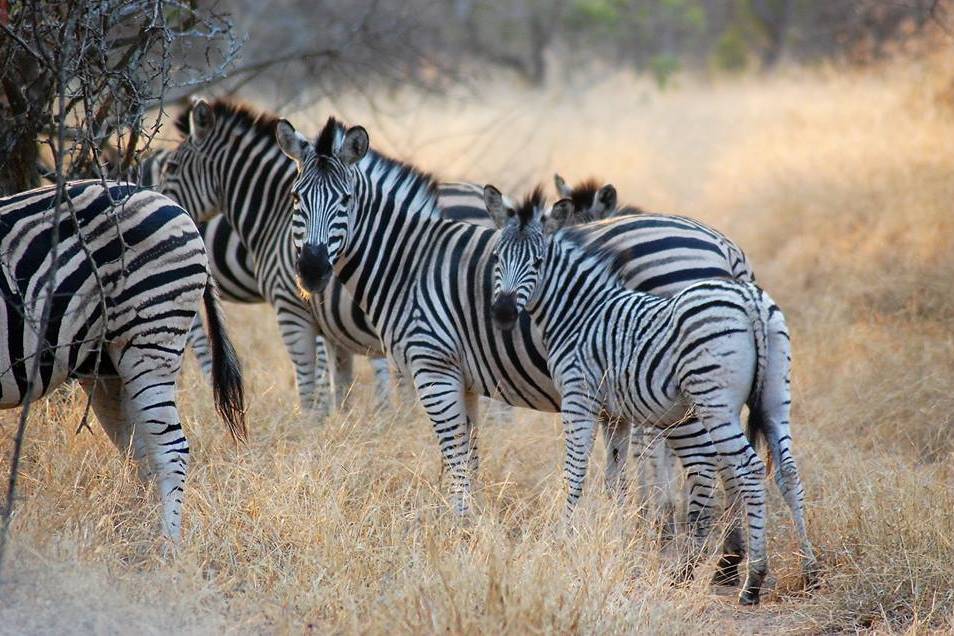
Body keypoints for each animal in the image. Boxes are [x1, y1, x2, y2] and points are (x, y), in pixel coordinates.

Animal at [0, 179, 245, 540]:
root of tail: (175, 206)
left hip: (152, 336)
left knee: (170, 450)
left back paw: (166, 545)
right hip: (108, 365)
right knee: (142, 452)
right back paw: (139, 535)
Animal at [158, 100, 490, 414]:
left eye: (171, 167)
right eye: (295, 196)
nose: (312, 269)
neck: (275, 218)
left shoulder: (292, 312)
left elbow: (309, 393)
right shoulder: (333, 330)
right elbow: (340, 388)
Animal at [274, 118, 760, 576]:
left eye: (345, 201)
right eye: (296, 199)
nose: (312, 270)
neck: (409, 266)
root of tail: (727, 249)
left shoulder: (432, 367)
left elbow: (453, 451)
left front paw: (460, 528)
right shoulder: (462, 377)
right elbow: (468, 453)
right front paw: (470, 523)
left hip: (683, 389)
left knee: (712, 462)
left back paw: (706, 560)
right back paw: (726, 561)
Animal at [488, 186, 816, 604]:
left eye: (538, 261)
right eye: (496, 258)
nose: (501, 313)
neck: (578, 312)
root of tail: (750, 300)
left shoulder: (579, 398)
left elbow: (575, 472)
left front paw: (565, 538)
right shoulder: (616, 414)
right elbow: (615, 480)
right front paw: (616, 537)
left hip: (715, 402)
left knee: (747, 468)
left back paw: (751, 580)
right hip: (775, 397)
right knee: (787, 471)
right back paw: (809, 571)